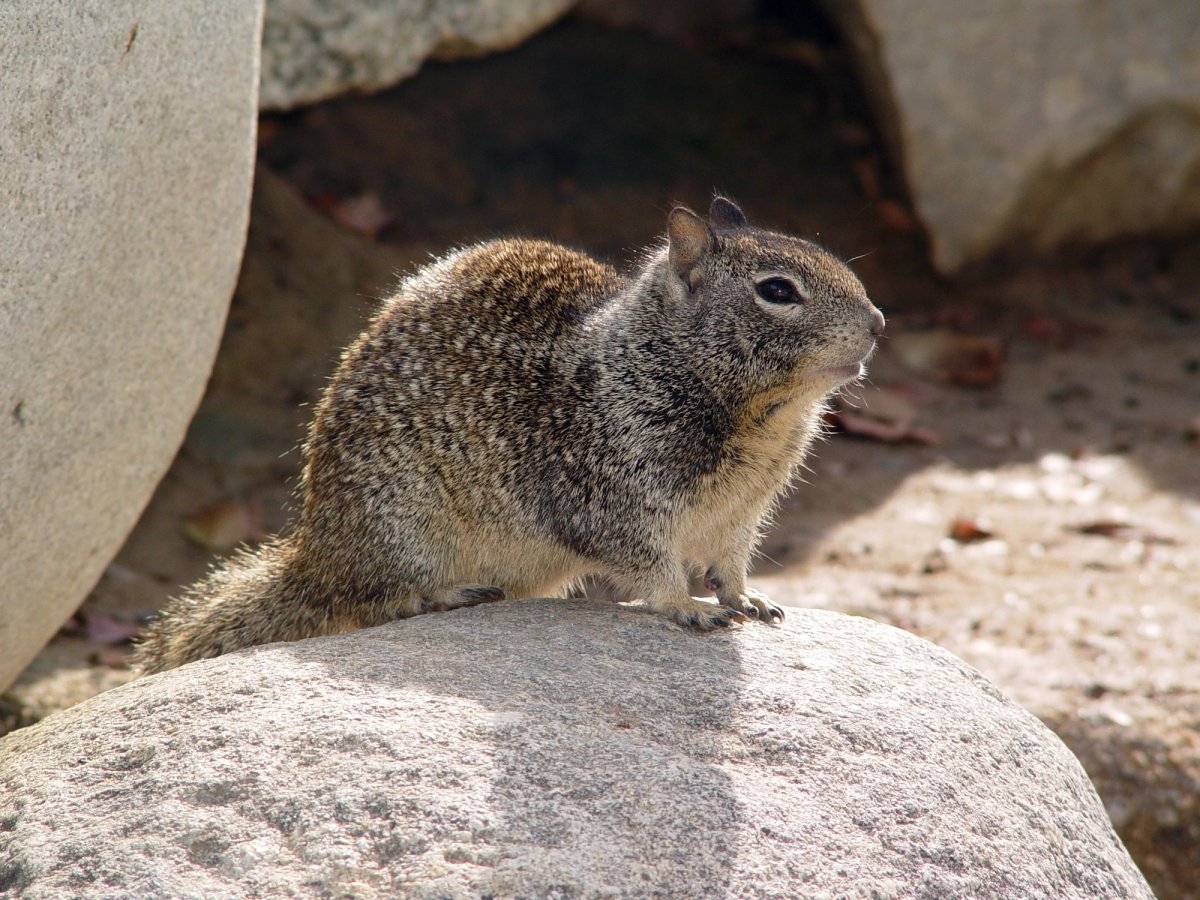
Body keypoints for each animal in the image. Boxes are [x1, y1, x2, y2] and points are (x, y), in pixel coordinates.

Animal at [134, 197, 884, 674]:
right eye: (778, 291)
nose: (878, 322)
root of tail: (312, 556)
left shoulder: (742, 514)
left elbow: (729, 565)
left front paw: (745, 599)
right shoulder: (613, 496)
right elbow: (652, 566)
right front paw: (685, 608)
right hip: (399, 523)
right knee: (374, 602)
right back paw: (447, 595)